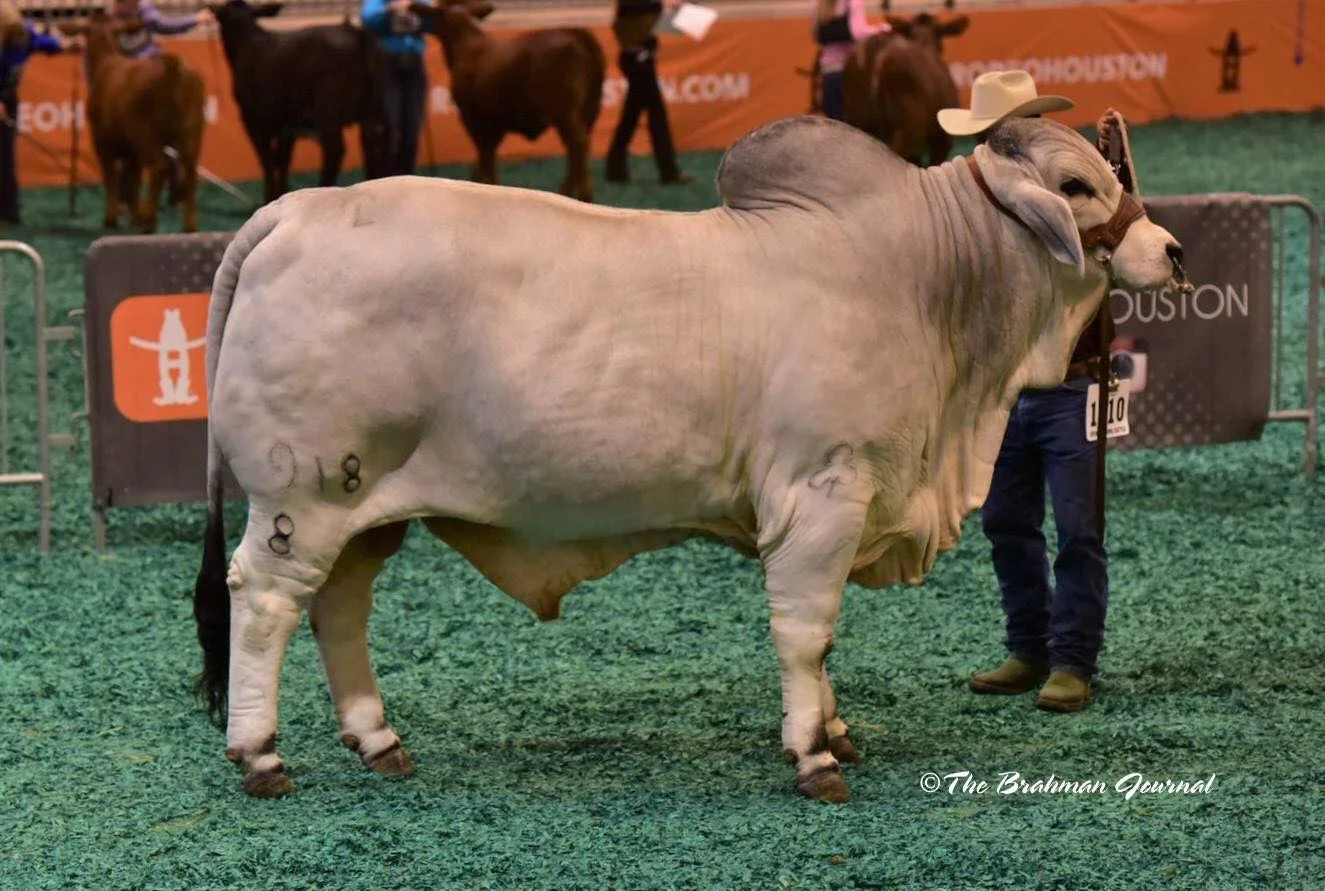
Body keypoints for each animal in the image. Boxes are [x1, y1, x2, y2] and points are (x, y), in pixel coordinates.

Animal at [77, 10, 205, 232]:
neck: (107, 61)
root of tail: (171, 64)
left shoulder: (102, 144)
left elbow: (112, 180)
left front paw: (111, 219)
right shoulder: (131, 151)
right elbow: (134, 181)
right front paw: (134, 216)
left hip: (147, 134)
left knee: (159, 167)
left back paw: (149, 220)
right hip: (191, 132)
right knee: (189, 172)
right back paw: (189, 225)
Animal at [191, 115, 1189, 803]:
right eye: (1075, 183)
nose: (1173, 251)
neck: (925, 280)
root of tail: (295, 211)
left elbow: (822, 640)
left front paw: (836, 728)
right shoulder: (821, 495)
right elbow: (806, 631)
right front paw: (813, 754)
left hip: (365, 510)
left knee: (340, 609)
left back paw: (378, 740)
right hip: (302, 497)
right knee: (266, 604)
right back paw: (259, 755)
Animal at [206, 0, 390, 204]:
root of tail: (357, 32)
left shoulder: (253, 120)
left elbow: (267, 160)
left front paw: (269, 197)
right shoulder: (289, 125)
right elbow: (283, 159)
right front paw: (281, 194)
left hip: (328, 109)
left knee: (335, 149)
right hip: (373, 108)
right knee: (373, 145)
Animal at [408, 0, 605, 202]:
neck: (466, 43)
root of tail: (573, 32)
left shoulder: (471, 116)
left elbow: (485, 155)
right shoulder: (496, 121)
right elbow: (486, 157)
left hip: (563, 112)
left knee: (577, 145)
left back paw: (569, 194)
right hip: (591, 107)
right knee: (583, 146)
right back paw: (580, 195)